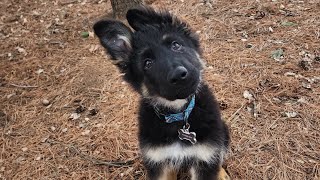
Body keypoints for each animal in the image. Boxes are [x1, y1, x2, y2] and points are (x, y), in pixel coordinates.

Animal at [92, 5, 230, 180]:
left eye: (176, 45)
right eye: (148, 63)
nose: (179, 75)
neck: (178, 115)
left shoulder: (204, 157)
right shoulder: (158, 161)